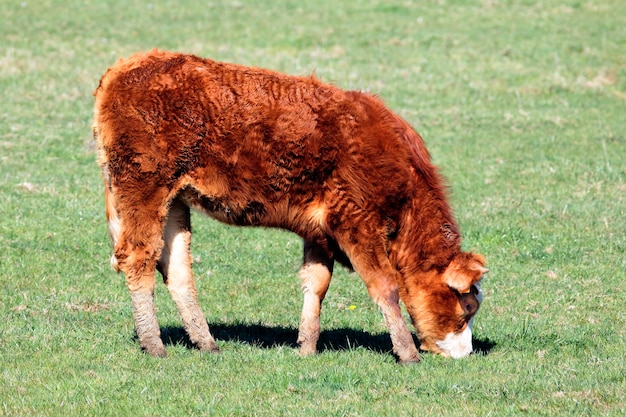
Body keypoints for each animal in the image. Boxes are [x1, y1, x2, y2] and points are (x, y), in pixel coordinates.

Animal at [92, 48, 486, 362]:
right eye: (467, 307)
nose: (466, 354)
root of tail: (126, 66)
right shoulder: (356, 223)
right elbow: (385, 287)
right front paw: (406, 352)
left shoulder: (320, 231)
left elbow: (317, 285)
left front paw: (307, 347)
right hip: (143, 187)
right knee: (137, 257)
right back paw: (154, 344)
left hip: (173, 200)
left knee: (175, 267)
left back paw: (206, 343)